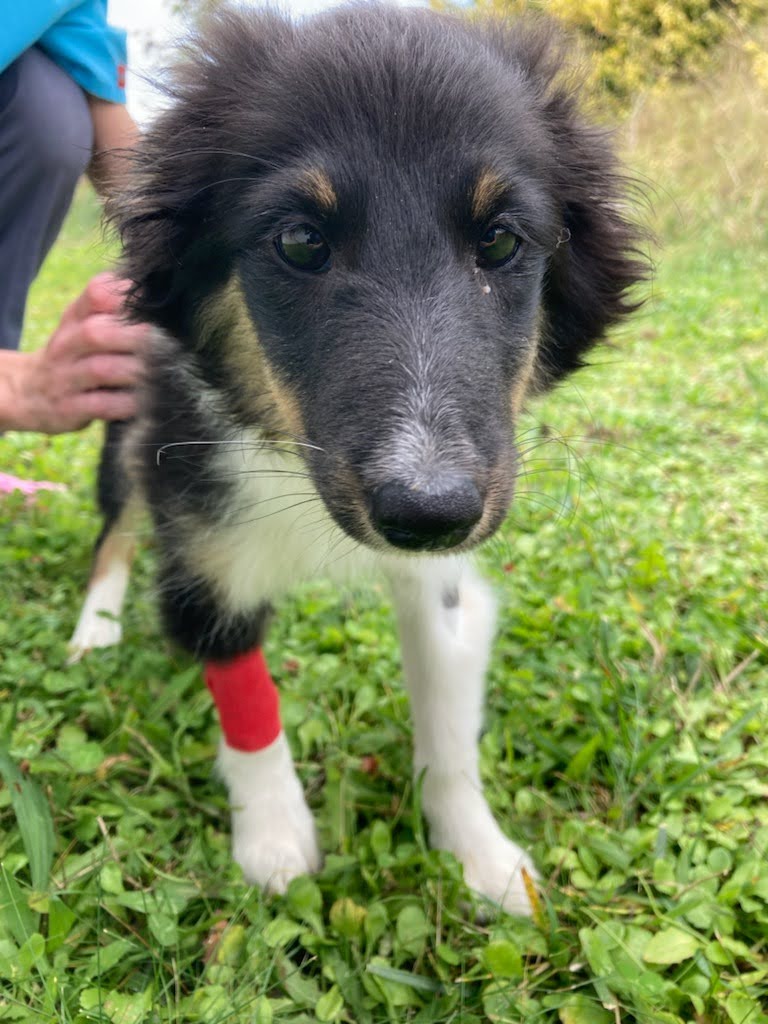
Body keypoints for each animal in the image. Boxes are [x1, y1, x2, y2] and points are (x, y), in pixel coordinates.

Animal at [69, 2, 646, 916]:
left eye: (501, 241)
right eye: (302, 241)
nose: (428, 509)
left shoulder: (445, 568)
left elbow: (446, 719)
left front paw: (481, 857)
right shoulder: (204, 542)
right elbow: (246, 700)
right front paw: (273, 839)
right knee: (114, 529)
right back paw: (95, 625)